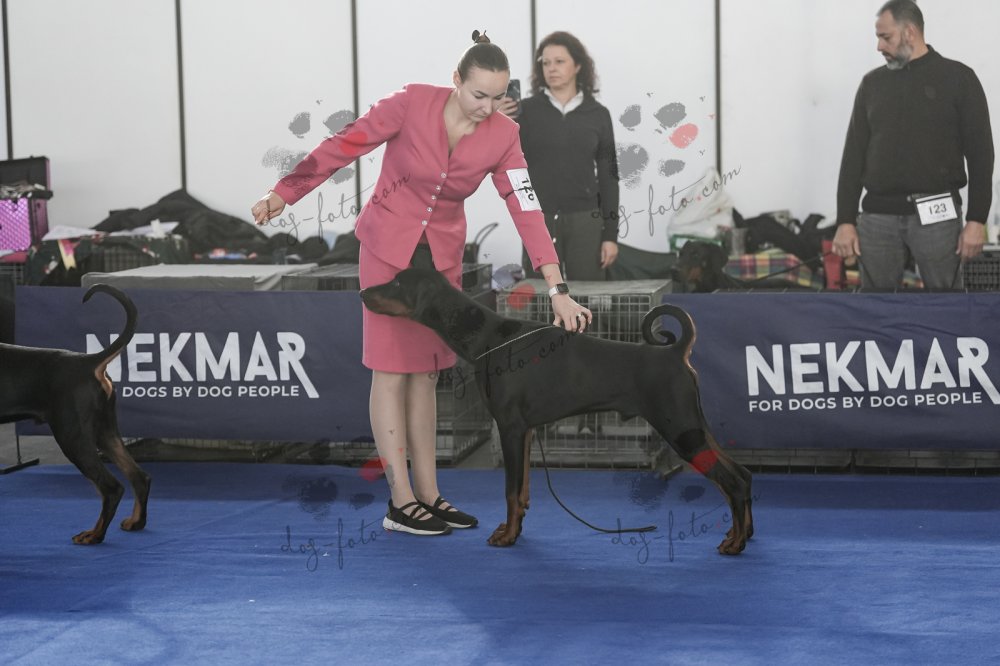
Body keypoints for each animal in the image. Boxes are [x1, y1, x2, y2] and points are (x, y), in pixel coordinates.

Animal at [1, 284, 150, 544]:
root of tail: (90, 362)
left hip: (72, 435)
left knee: (112, 488)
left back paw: (94, 535)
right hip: (104, 431)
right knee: (139, 476)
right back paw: (135, 522)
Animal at [361, 268, 753, 555]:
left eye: (398, 282)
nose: (363, 293)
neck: (488, 339)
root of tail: (674, 353)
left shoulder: (510, 427)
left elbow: (509, 490)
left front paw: (507, 538)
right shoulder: (526, 431)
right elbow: (521, 492)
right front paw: (512, 529)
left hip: (681, 430)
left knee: (731, 481)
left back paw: (734, 543)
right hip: (694, 425)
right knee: (743, 474)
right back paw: (744, 534)